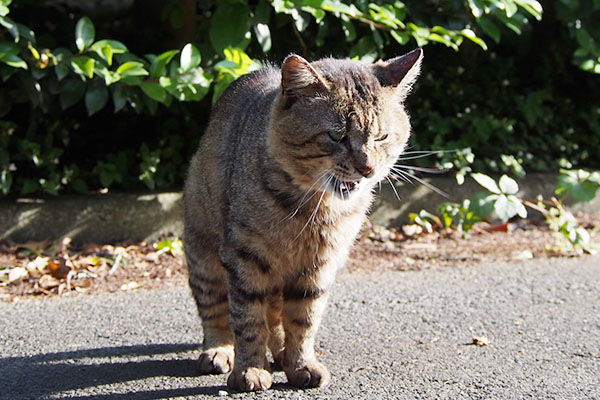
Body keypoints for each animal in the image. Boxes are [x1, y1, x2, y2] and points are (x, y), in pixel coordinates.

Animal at [183, 47, 422, 390]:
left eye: (381, 137)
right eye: (337, 135)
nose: (367, 168)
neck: (312, 210)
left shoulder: (319, 266)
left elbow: (303, 320)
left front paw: (300, 364)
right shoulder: (244, 258)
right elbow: (247, 319)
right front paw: (250, 369)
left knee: (275, 317)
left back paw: (280, 352)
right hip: (204, 254)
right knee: (215, 311)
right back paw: (218, 351)